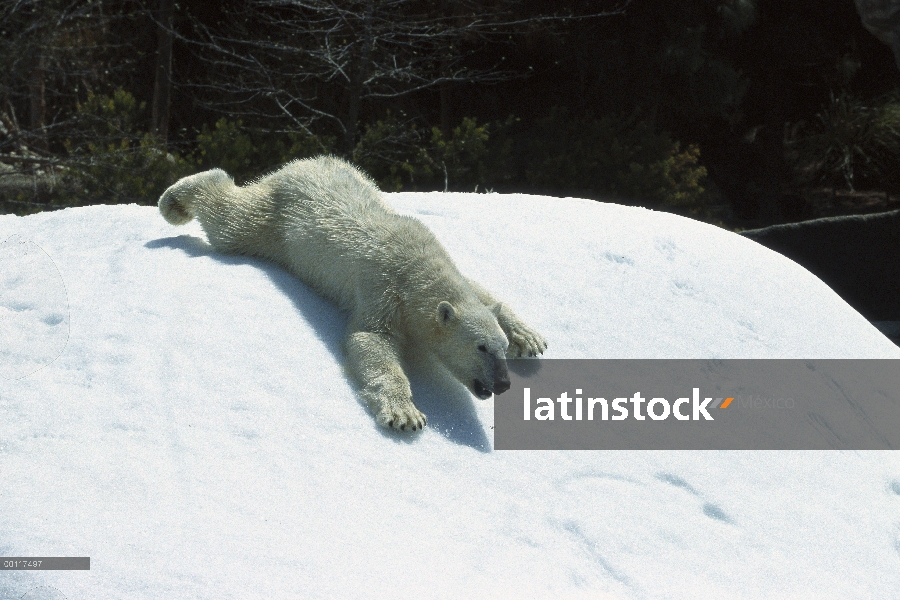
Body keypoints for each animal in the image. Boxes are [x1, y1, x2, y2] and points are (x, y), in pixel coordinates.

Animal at [158, 157, 544, 432]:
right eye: (480, 347)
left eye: (500, 347)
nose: (503, 384)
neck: (418, 267)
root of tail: (299, 165)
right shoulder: (383, 287)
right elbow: (370, 339)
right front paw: (405, 413)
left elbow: (481, 289)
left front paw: (529, 338)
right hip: (277, 224)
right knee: (231, 220)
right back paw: (174, 201)